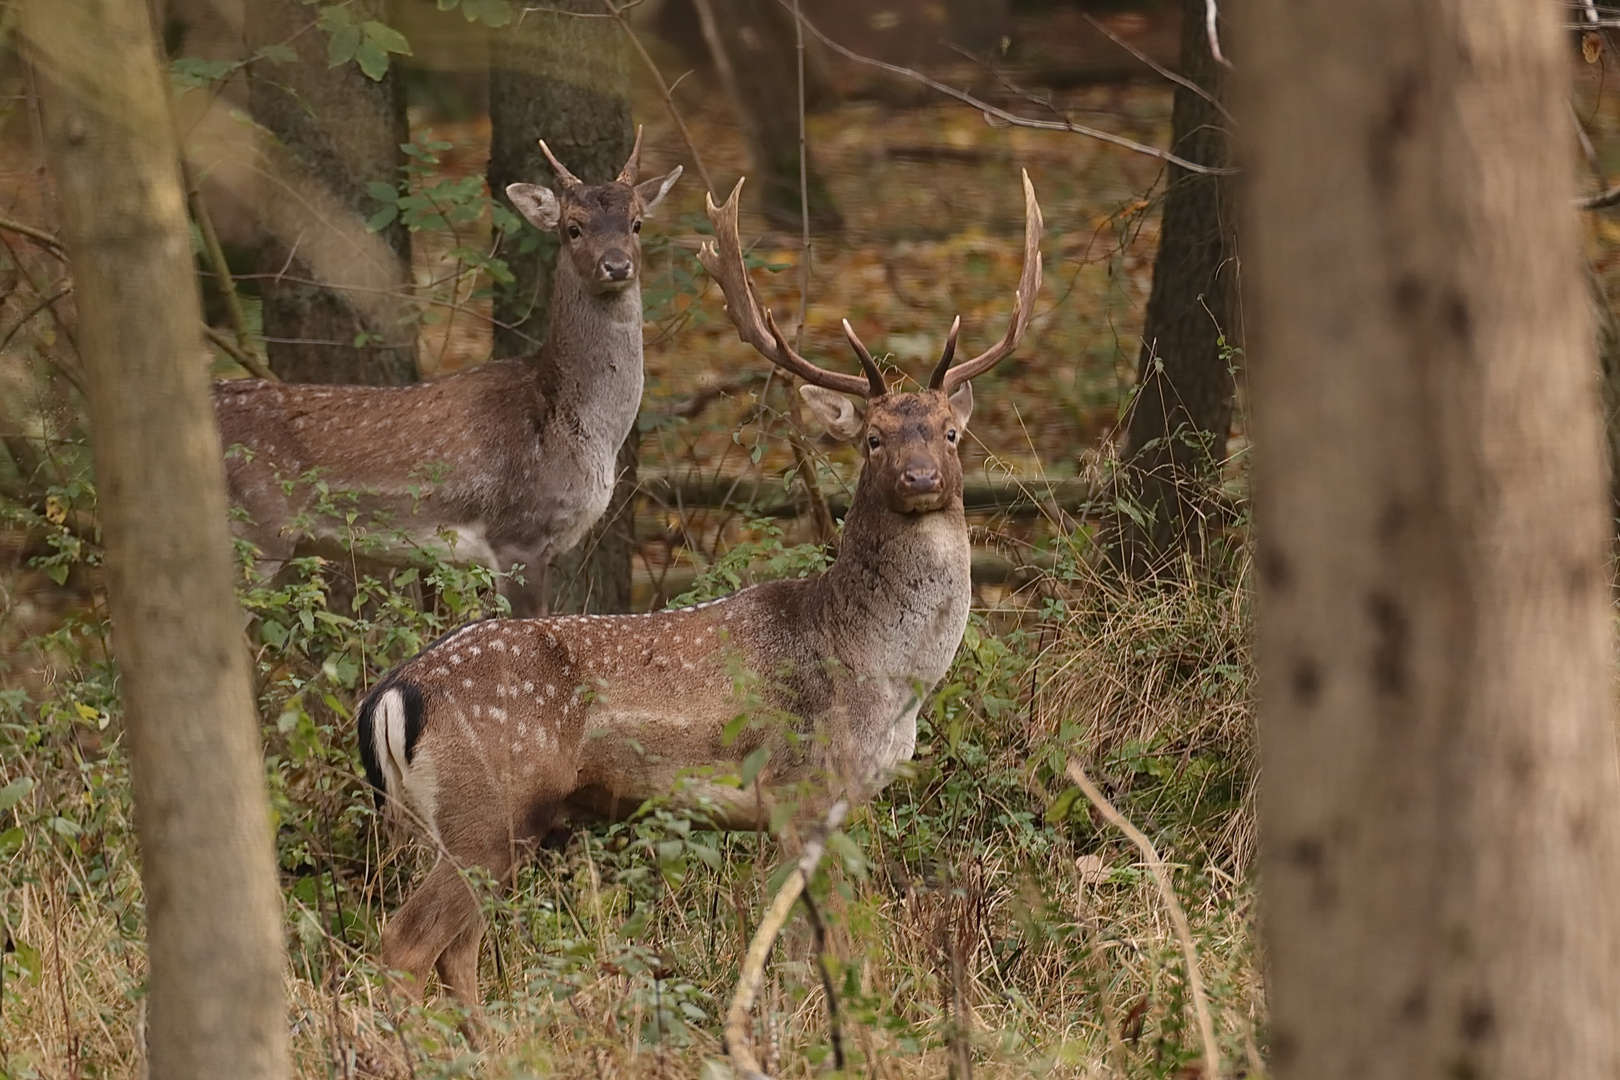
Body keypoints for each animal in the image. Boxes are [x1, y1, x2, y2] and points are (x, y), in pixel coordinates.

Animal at [212, 131, 680, 612]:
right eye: (573, 227)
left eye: (636, 223)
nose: (616, 265)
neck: (580, 426)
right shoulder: (518, 532)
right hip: (255, 534)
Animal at [351, 170, 1036, 1029]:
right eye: (873, 438)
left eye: (950, 433)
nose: (920, 479)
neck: (882, 674)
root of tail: (392, 691)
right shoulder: (799, 789)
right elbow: (826, 947)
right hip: (491, 803)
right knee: (407, 941)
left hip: (468, 824)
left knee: (458, 948)